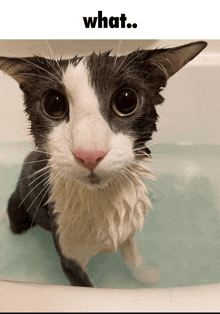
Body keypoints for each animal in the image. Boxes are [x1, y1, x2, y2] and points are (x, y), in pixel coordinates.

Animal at [0, 41, 206, 288]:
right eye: (53, 104)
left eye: (127, 101)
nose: (89, 155)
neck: (102, 199)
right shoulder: (69, 255)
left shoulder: (127, 226)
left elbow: (132, 254)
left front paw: (145, 274)